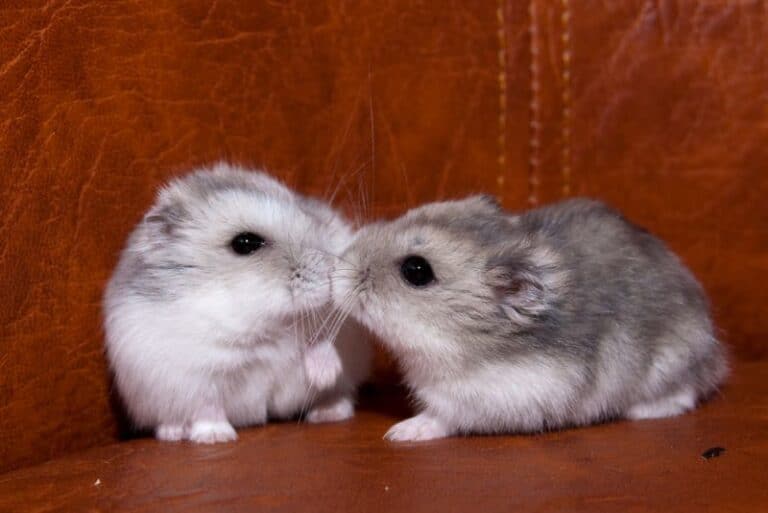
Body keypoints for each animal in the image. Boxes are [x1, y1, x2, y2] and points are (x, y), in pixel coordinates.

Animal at [104, 163, 371, 443]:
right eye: (245, 243)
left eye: (305, 212)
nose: (331, 270)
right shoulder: (191, 377)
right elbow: (207, 407)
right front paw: (216, 437)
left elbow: (319, 338)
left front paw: (325, 376)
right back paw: (174, 432)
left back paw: (330, 411)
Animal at [333, 196, 727, 441]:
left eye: (416, 271)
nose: (338, 265)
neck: (455, 342)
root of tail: (715, 356)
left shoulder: (488, 399)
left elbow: (440, 417)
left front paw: (398, 433)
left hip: (671, 365)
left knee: (683, 396)